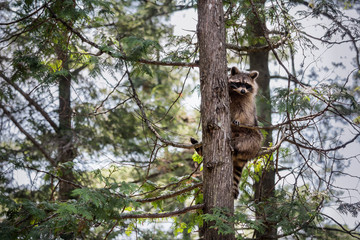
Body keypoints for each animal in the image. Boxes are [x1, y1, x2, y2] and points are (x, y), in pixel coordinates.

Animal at [191, 66, 262, 199]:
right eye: (238, 83)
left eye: (247, 85)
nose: (243, 91)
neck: (238, 94)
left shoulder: (248, 104)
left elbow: (244, 113)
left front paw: (238, 120)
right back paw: (201, 149)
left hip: (253, 137)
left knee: (249, 141)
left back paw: (235, 146)